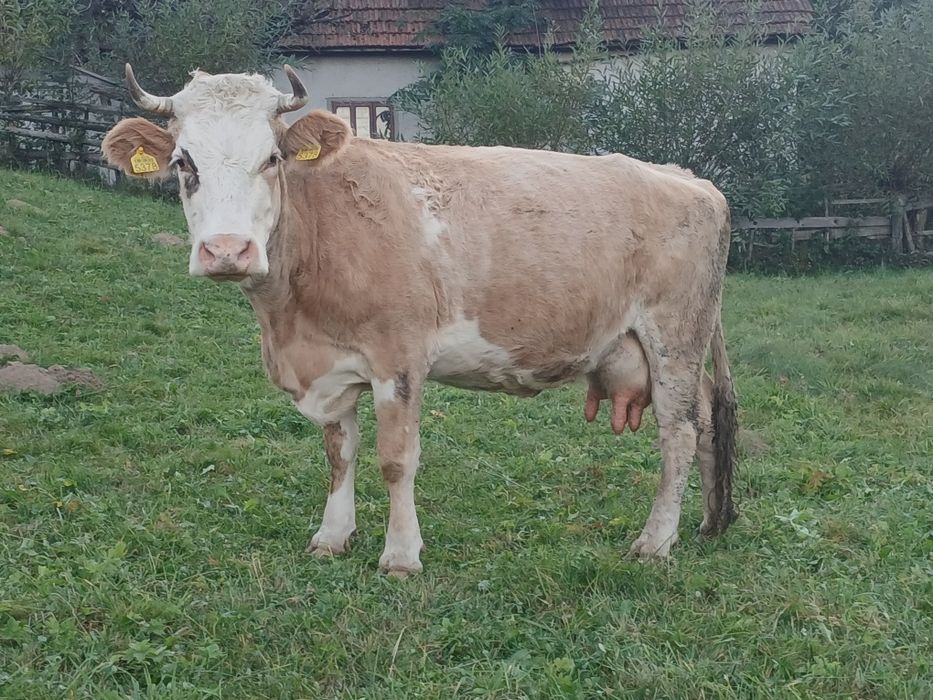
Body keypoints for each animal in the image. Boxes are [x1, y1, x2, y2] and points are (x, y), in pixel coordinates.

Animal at [102, 65, 738, 576]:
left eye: (272, 159)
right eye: (183, 162)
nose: (227, 251)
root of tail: (687, 177)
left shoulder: (399, 358)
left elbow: (395, 459)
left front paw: (401, 555)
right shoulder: (334, 368)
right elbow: (339, 452)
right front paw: (332, 536)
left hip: (674, 337)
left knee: (679, 432)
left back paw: (654, 543)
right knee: (707, 417)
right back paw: (711, 521)